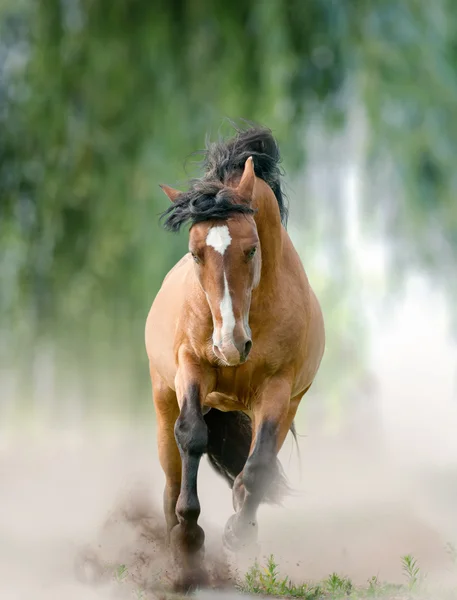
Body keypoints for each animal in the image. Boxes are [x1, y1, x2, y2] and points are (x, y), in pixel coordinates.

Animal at [144, 124, 326, 588]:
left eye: (251, 249)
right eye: (195, 253)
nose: (229, 345)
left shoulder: (278, 390)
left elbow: (258, 469)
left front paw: (237, 535)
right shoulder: (191, 369)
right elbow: (192, 435)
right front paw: (189, 537)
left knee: (254, 471)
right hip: (162, 398)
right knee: (171, 475)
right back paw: (174, 546)